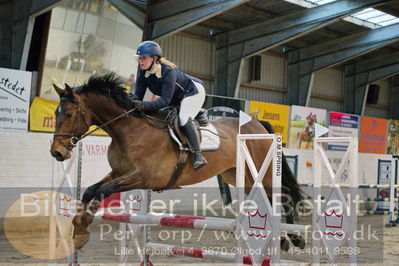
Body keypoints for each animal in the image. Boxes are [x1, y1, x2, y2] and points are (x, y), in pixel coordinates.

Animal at [50, 73, 306, 251]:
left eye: (69, 114)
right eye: (55, 113)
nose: (57, 153)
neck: (129, 130)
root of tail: (256, 123)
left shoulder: (143, 177)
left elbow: (102, 191)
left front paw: (82, 227)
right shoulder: (119, 173)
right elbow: (91, 190)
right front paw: (79, 230)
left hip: (265, 170)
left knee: (283, 194)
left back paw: (294, 238)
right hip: (240, 175)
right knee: (268, 198)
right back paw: (282, 239)